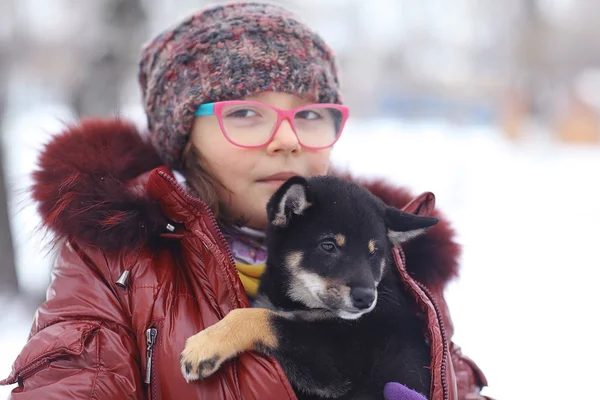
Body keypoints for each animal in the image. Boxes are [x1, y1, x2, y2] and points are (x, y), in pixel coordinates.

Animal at [180, 177, 438, 398]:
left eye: (374, 253)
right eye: (328, 246)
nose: (366, 298)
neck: (297, 304)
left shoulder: (339, 363)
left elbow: (259, 317)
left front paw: (205, 345)